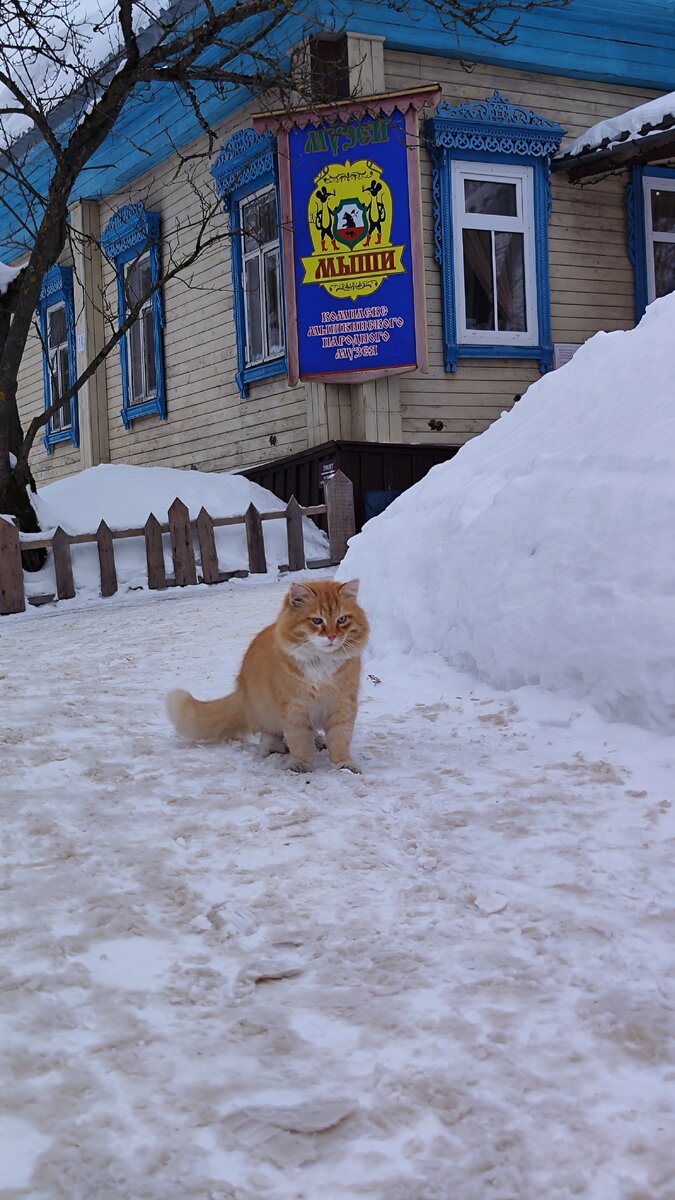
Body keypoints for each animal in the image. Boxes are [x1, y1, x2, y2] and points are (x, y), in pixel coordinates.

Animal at [166, 578, 367, 768]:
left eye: (342, 620)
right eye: (317, 621)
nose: (332, 636)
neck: (321, 663)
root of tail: (241, 692)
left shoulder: (342, 704)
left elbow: (340, 739)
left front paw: (344, 764)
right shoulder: (294, 707)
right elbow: (300, 741)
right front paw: (301, 764)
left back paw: (318, 741)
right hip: (264, 709)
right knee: (269, 733)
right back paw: (273, 748)